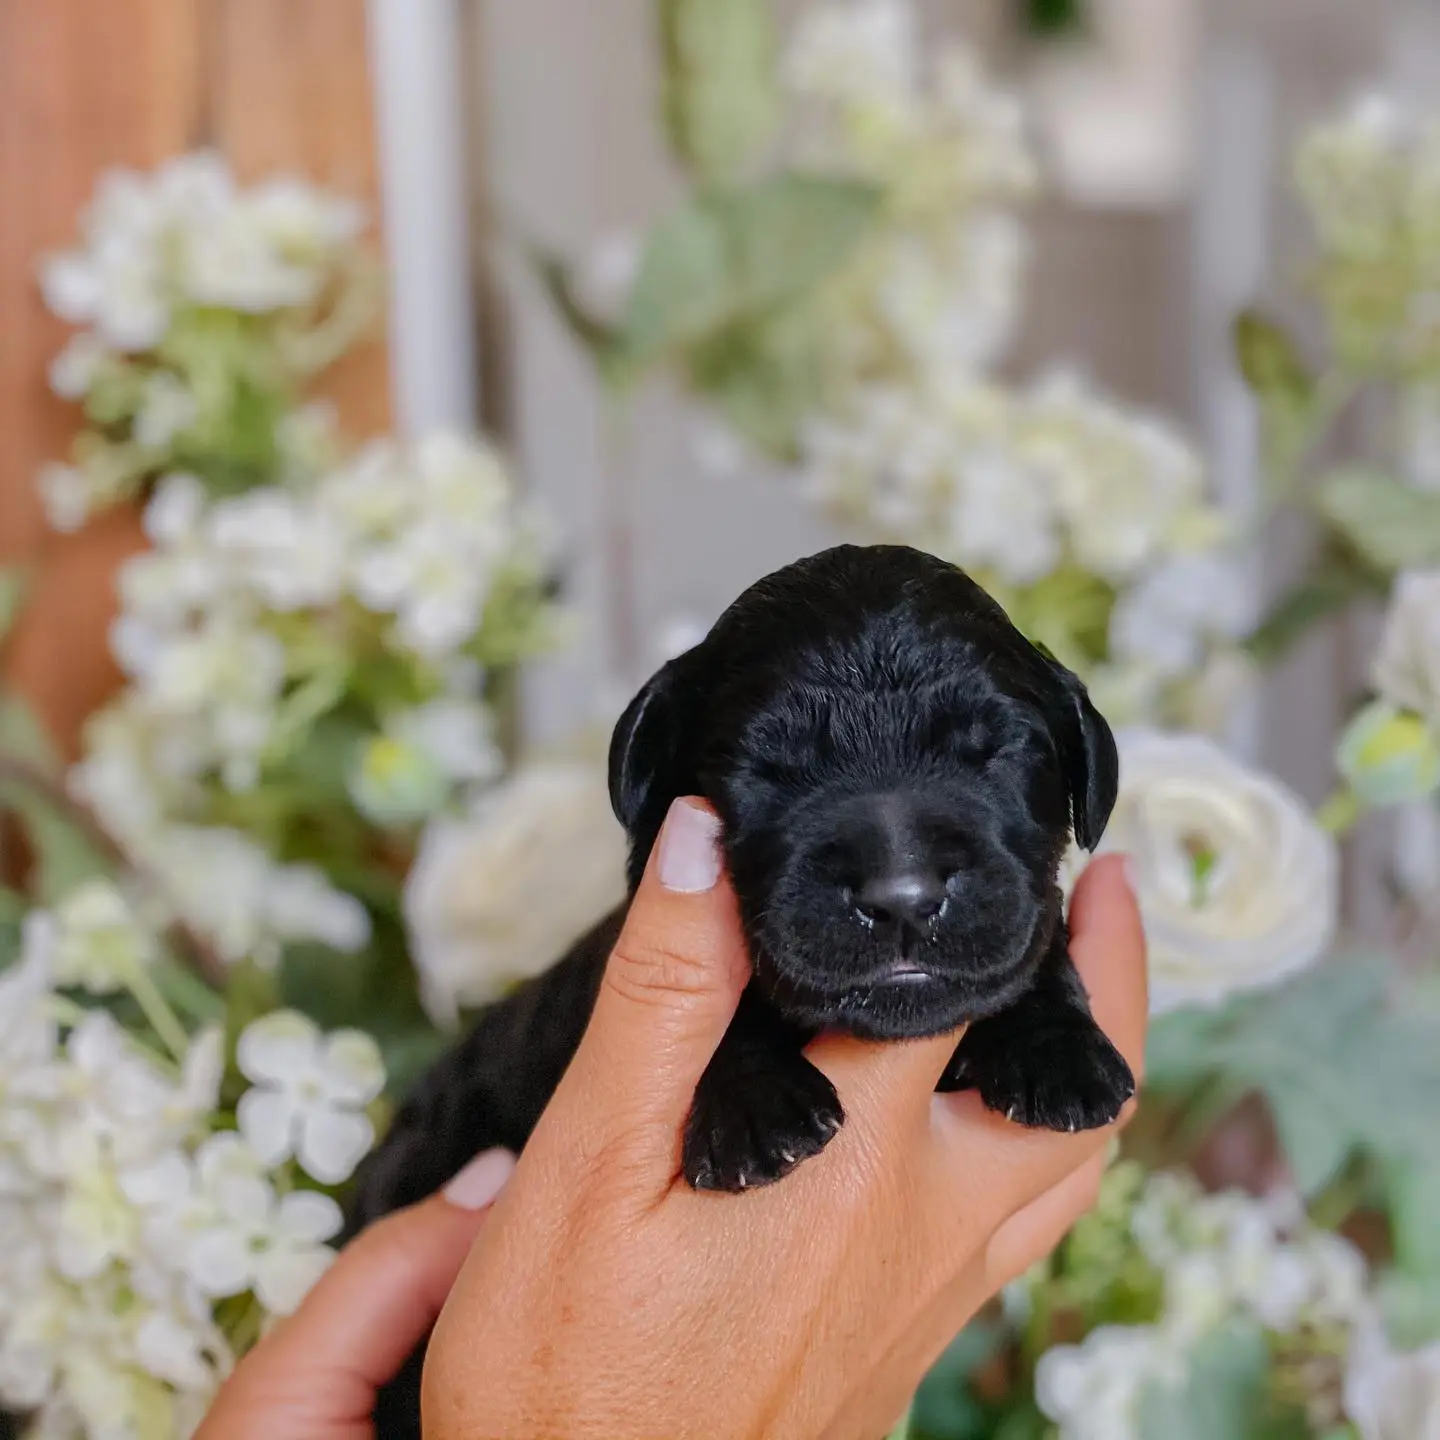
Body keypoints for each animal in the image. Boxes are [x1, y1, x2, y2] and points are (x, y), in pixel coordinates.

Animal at [351, 541, 1134, 1440]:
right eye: (767, 770)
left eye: (993, 753)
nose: (900, 894)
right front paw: (760, 1112)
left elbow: (1036, 943)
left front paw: (1059, 1053)